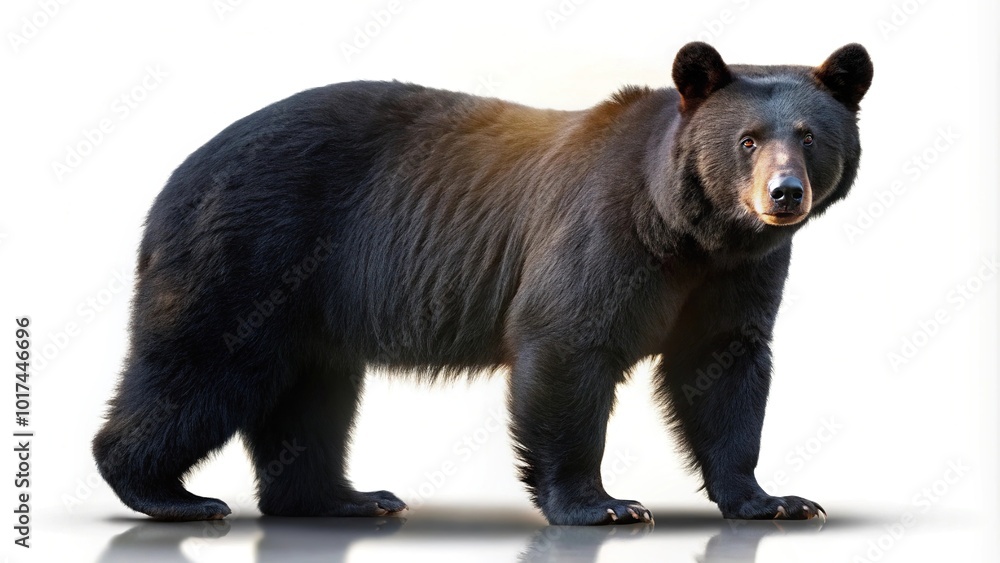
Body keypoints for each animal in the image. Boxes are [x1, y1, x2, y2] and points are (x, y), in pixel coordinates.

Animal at [93, 41, 872, 526]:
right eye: (747, 140)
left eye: (809, 136)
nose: (784, 195)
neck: (689, 232)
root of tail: (176, 174)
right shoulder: (604, 232)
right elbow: (566, 341)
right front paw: (602, 504)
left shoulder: (735, 276)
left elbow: (725, 366)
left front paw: (772, 498)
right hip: (248, 251)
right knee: (202, 364)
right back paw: (166, 492)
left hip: (306, 301)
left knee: (310, 398)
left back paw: (347, 497)